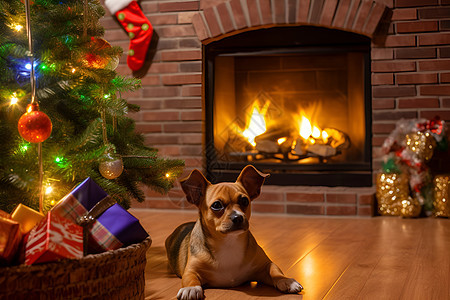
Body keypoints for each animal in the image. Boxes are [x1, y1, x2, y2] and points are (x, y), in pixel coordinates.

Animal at [165, 165, 302, 298]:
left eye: (244, 201)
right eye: (216, 205)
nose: (238, 217)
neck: (228, 242)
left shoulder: (265, 266)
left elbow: (275, 271)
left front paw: (286, 281)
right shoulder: (190, 270)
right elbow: (189, 277)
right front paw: (191, 288)